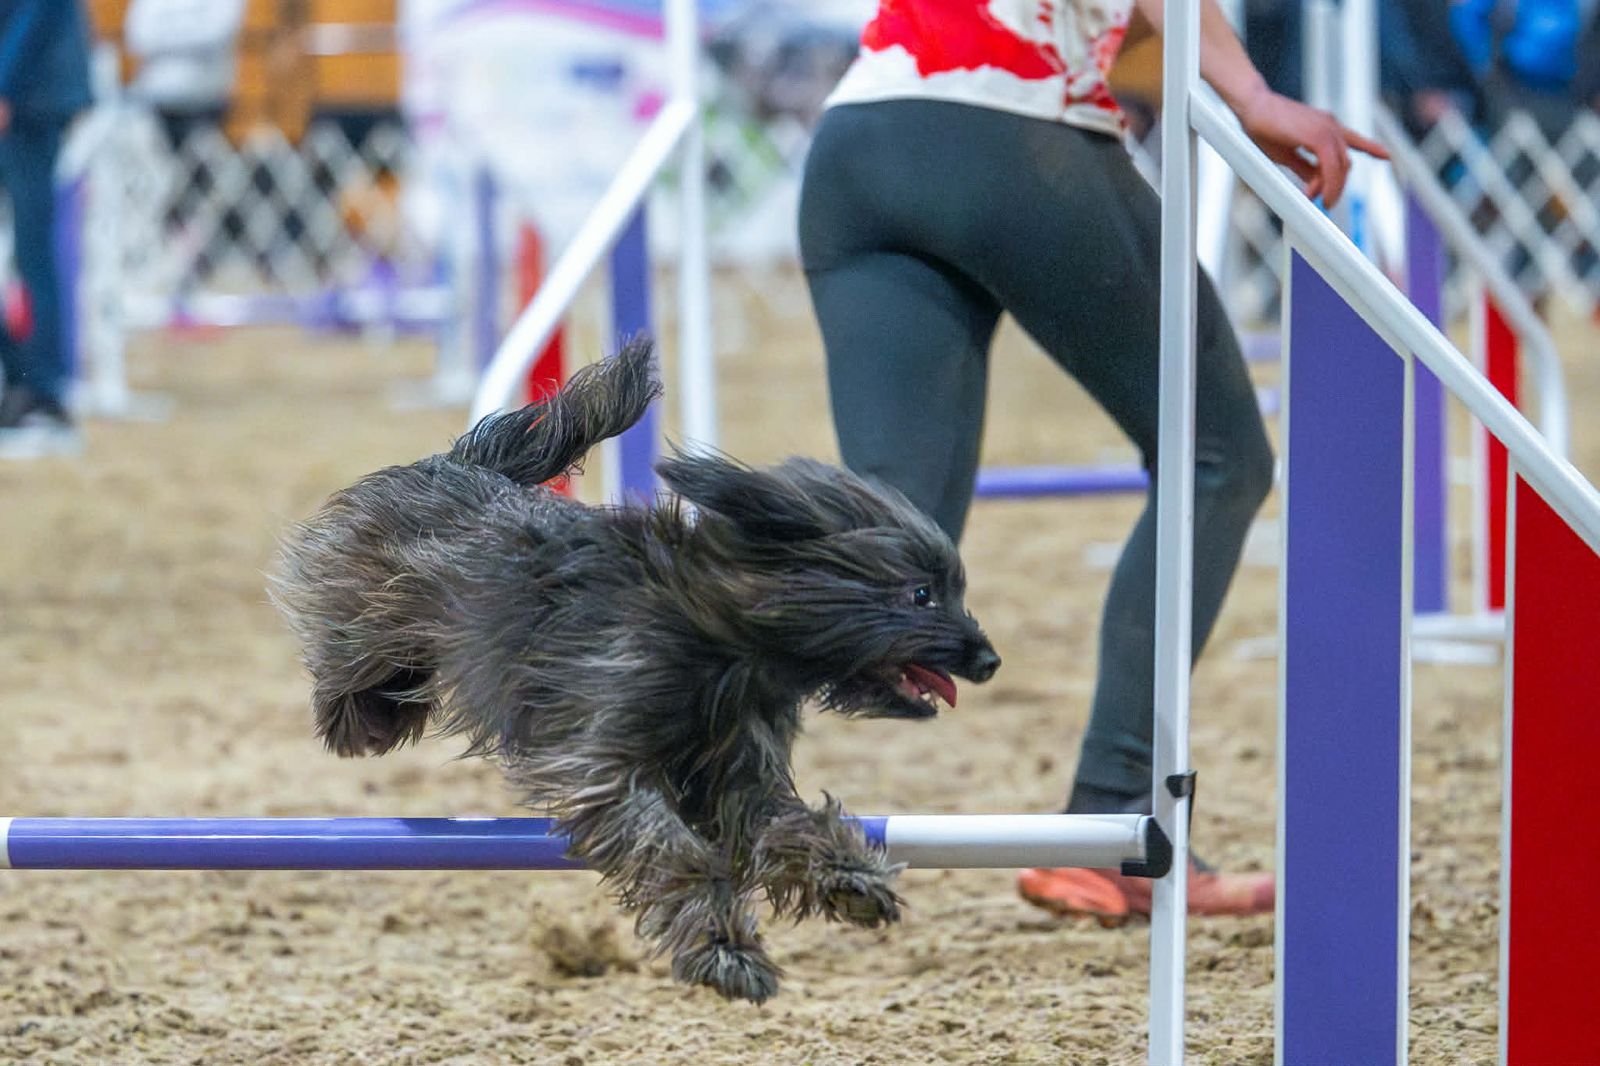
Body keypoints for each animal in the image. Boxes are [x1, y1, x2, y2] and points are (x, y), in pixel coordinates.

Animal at [270, 338, 1000, 1003]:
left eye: (953, 587)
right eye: (920, 594)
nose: (989, 661)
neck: (716, 635)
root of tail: (458, 465)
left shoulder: (736, 771)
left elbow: (786, 822)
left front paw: (848, 875)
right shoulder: (605, 763)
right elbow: (674, 851)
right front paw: (726, 951)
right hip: (374, 616)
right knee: (350, 663)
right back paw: (362, 721)